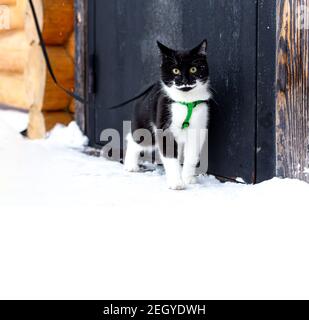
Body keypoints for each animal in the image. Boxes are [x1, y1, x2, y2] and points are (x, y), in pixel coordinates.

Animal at [124, 40, 211, 190]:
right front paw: (176, 183)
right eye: (175, 70)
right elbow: (170, 154)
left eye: (193, 69)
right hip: (146, 125)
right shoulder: (164, 122)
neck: (185, 101)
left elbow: (192, 155)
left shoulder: (198, 127)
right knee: (135, 138)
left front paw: (188, 179)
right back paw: (131, 165)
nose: (184, 80)